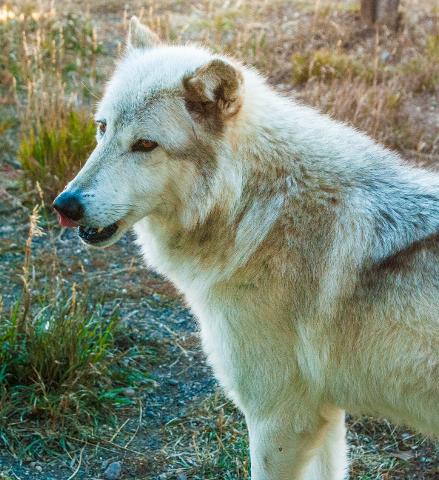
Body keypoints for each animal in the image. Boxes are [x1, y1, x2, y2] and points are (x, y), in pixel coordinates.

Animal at [54, 16, 439, 480]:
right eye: (102, 128)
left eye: (145, 145)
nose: (65, 205)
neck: (257, 207)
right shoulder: (324, 416)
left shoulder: (280, 419)